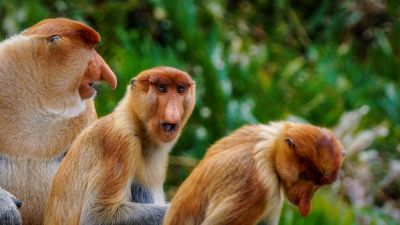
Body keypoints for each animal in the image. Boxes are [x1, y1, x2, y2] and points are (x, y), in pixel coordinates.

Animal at [44, 66, 196, 225]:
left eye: (180, 90)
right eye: (162, 89)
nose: (173, 111)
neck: (138, 125)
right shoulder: (122, 140)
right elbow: (96, 216)